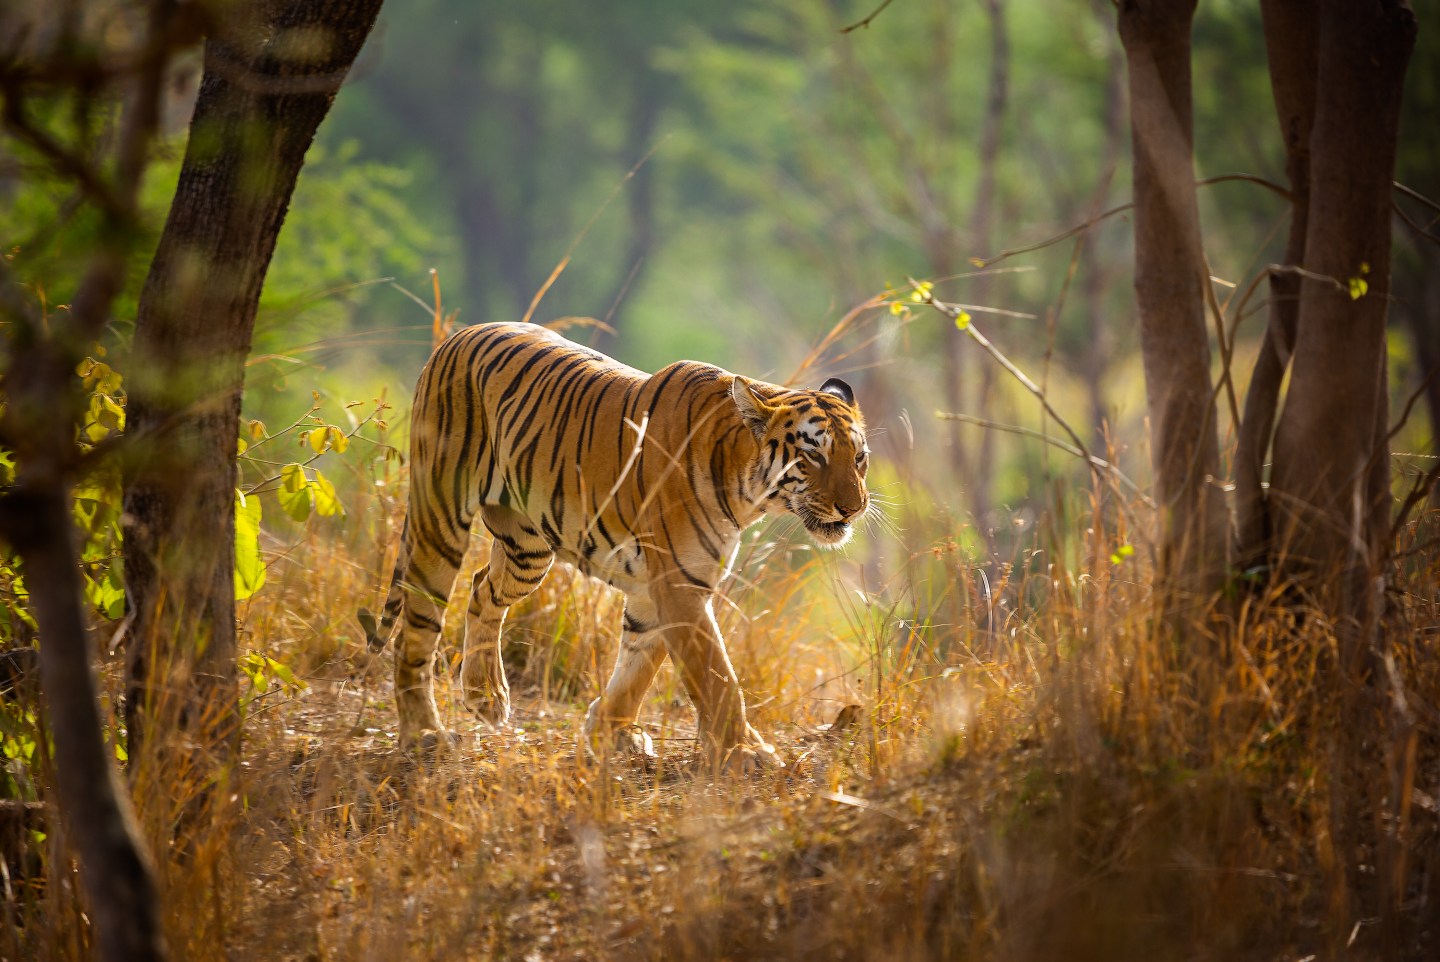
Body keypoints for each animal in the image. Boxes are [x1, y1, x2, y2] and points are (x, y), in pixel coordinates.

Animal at [359, 321, 870, 768]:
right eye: (813, 454)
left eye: (860, 457)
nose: (854, 508)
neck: (746, 487)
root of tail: (460, 334)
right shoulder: (679, 583)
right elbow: (717, 675)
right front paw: (746, 753)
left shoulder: (665, 586)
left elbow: (639, 666)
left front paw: (610, 730)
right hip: (439, 521)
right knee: (416, 632)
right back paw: (424, 734)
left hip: (528, 548)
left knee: (483, 588)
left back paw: (486, 697)